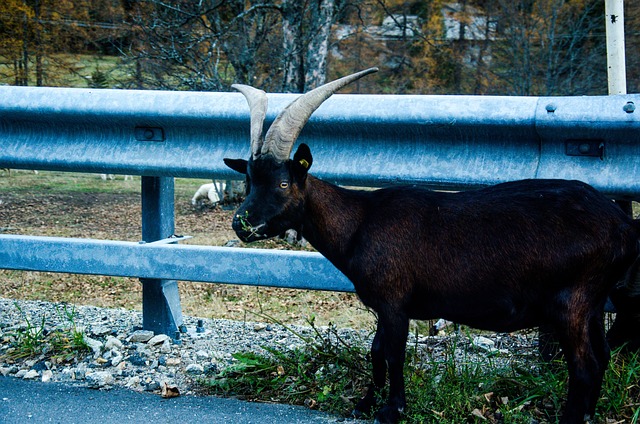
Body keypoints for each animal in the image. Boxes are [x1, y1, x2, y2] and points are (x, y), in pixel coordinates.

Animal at [224, 68, 640, 422]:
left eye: (283, 183)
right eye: (249, 180)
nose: (242, 224)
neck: (361, 221)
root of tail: (623, 226)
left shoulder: (394, 300)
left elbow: (393, 354)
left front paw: (392, 410)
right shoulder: (387, 303)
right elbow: (376, 351)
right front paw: (365, 403)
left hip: (573, 299)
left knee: (585, 365)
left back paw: (571, 417)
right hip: (593, 301)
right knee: (602, 356)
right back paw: (587, 414)